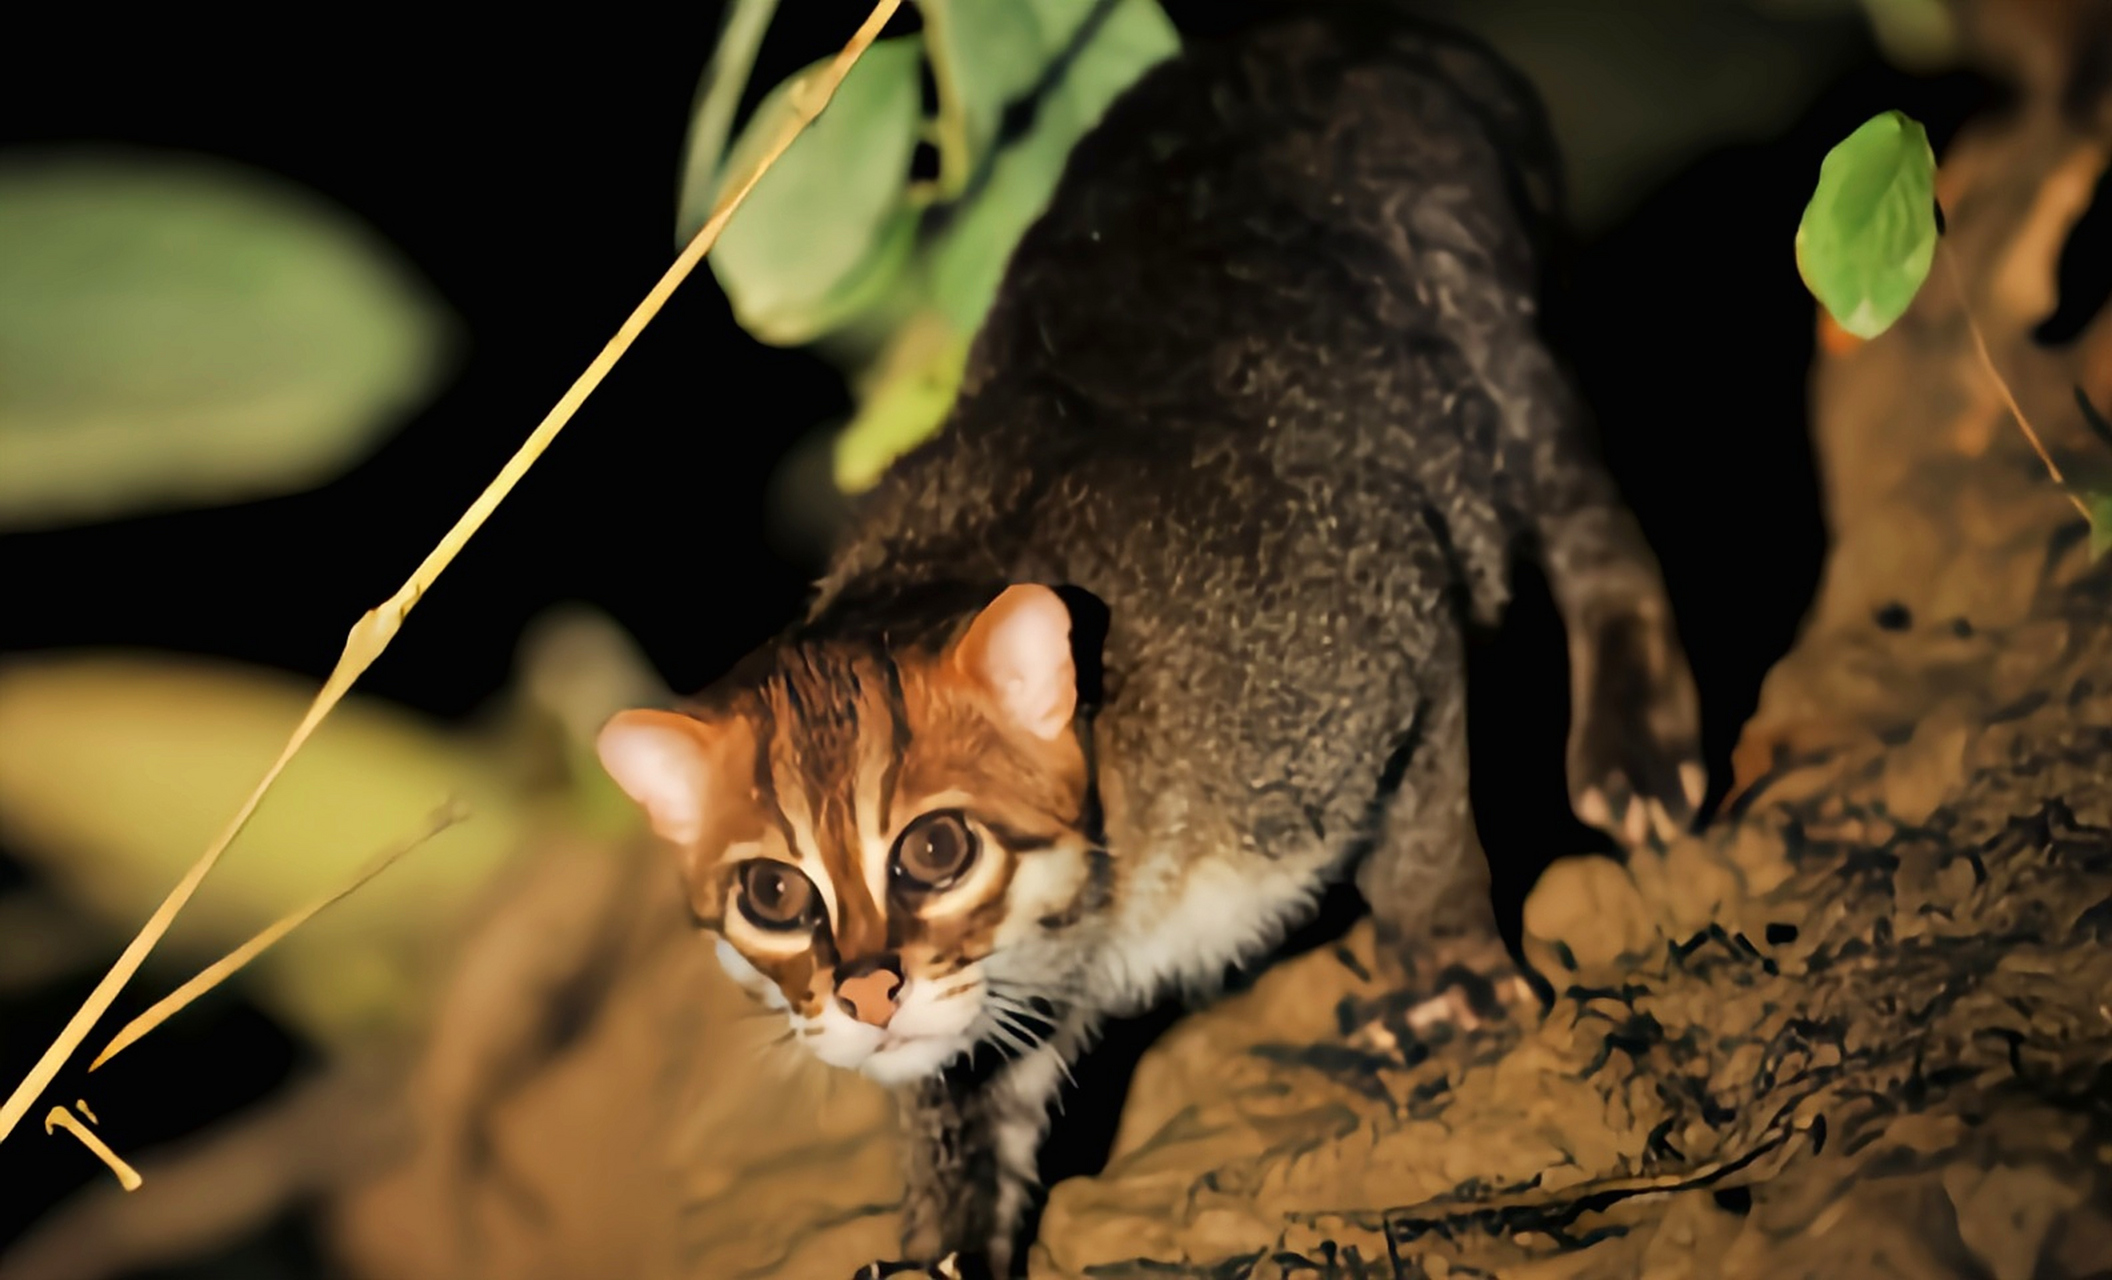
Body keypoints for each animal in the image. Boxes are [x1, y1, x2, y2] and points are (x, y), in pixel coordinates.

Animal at [591, 5, 1698, 1275]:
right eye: (772, 893)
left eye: (935, 850)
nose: (865, 998)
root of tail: (1351, 27)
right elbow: (963, 1099)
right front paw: (937, 1235)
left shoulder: (1376, 625)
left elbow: (1420, 834)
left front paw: (1447, 967)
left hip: (1485, 331)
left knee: (1586, 507)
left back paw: (1634, 741)